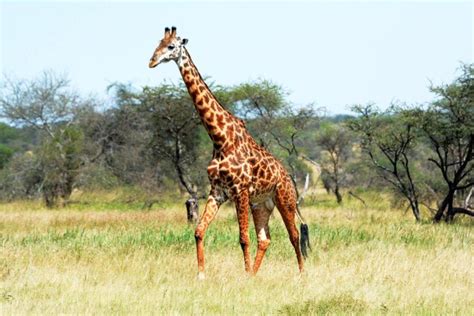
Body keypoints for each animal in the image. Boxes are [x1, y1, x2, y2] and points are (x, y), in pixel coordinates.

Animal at [149, 27, 312, 278]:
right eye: (157, 44)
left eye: (171, 46)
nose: (152, 61)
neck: (220, 138)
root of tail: (286, 176)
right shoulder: (218, 191)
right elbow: (199, 231)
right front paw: (201, 275)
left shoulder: (240, 191)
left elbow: (243, 238)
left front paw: (243, 275)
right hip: (261, 205)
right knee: (265, 239)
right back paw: (255, 274)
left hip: (284, 199)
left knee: (293, 236)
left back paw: (301, 275)